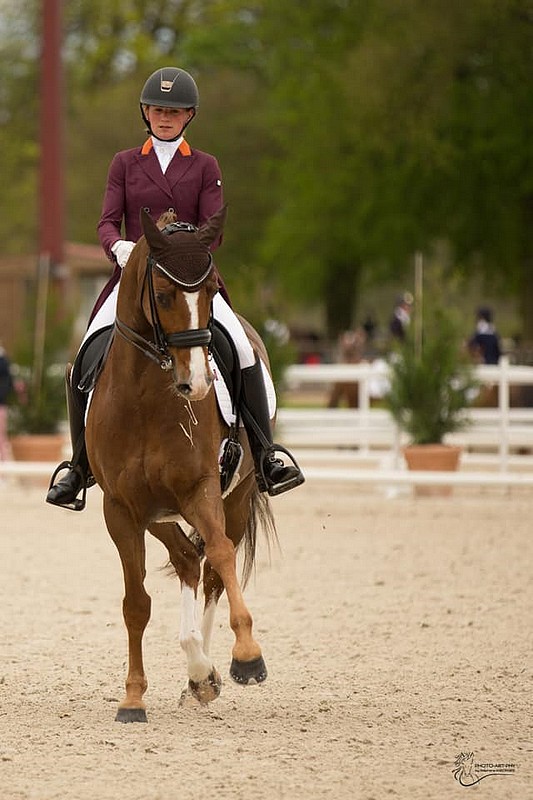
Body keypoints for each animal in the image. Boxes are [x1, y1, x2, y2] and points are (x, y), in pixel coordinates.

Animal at [85, 209, 276, 720]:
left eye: (210, 290)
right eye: (164, 295)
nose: (198, 383)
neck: (146, 399)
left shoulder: (200, 490)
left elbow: (223, 557)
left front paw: (246, 657)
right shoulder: (121, 509)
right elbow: (135, 603)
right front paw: (133, 698)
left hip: (236, 496)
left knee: (209, 571)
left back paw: (208, 669)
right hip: (158, 514)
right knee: (189, 559)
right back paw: (198, 673)